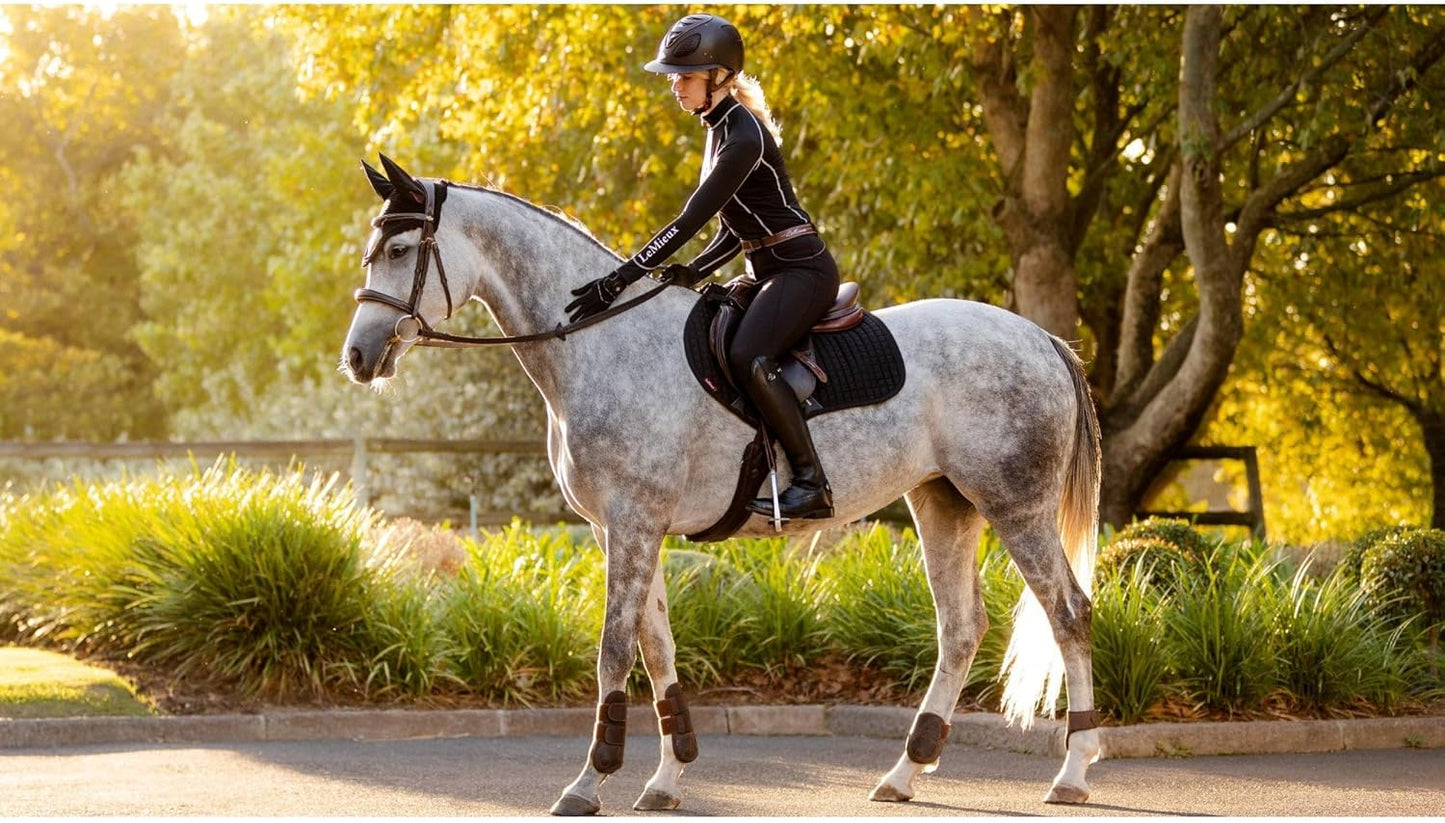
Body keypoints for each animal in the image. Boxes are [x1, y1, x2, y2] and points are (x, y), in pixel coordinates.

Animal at [341, 155, 1104, 815]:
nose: (357, 357)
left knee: (1067, 612)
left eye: (401, 249)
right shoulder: (622, 527)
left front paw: (590, 781)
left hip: (1015, 504)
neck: (599, 341)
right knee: (959, 628)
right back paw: (903, 773)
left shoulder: (634, 519)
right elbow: (656, 647)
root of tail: (1041, 339)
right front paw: (666, 777)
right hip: (943, 502)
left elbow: (615, 649)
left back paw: (1071, 770)